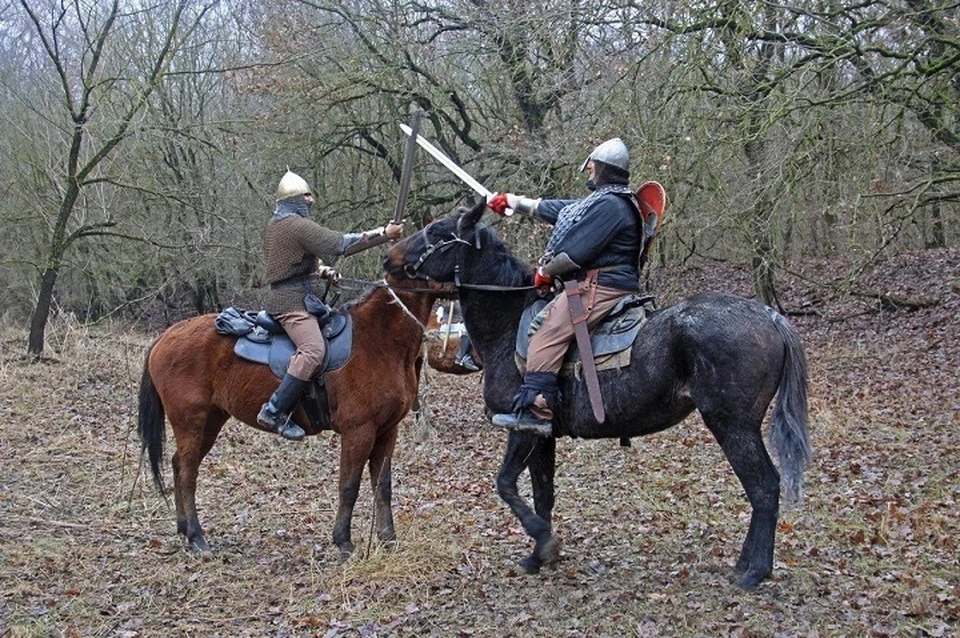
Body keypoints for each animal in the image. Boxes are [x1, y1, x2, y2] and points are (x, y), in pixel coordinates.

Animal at [137, 280, 444, 556]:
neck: (378, 338)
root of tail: (166, 336)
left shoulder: (387, 431)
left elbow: (383, 486)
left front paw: (388, 539)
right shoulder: (359, 432)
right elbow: (349, 486)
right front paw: (344, 543)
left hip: (210, 422)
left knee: (178, 465)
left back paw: (183, 529)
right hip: (191, 422)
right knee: (188, 474)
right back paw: (197, 538)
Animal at [382, 201, 808, 592]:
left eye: (438, 232)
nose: (388, 258)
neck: (509, 323)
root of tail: (771, 317)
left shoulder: (521, 428)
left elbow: (505, 484)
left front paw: (544, 541)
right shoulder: (542, 435)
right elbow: (543, 494)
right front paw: (538, 556)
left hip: (733, 426)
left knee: (765, 487)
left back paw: (754, 571)